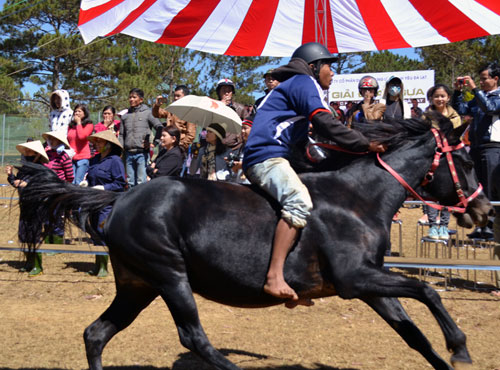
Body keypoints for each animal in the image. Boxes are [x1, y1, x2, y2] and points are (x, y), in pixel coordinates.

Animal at [16, 114, 492, 368]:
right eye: (466, 161)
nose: (485, 210)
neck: (357, 199)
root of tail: (119, 197)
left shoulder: (369, 283)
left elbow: (413, 332)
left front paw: (450, 352)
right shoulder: (356, 279)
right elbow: (427, 290)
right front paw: (460, 347)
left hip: (139, 285)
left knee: (97, 334)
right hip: (169, 275)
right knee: (193, 338)